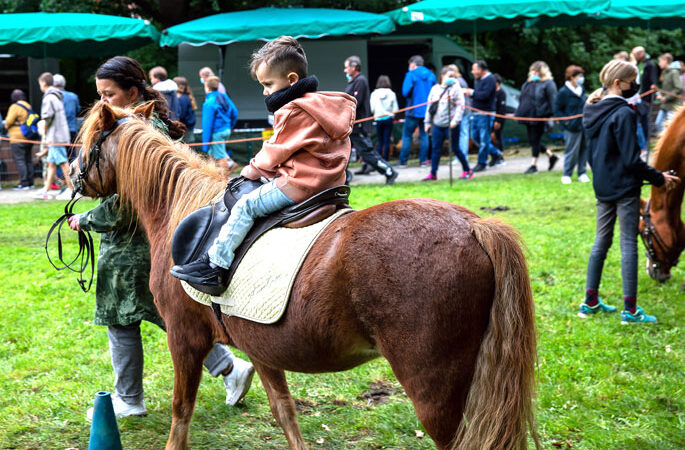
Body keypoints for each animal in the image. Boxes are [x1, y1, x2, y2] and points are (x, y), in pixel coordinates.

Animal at [72, 102, 536, 450]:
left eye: (88, 140)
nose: (72, 178)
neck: (180, 208)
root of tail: (475, 227)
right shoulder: (258, 345)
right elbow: (285, 412)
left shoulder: (184, 337)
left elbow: (180, 412)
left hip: (434, 390)